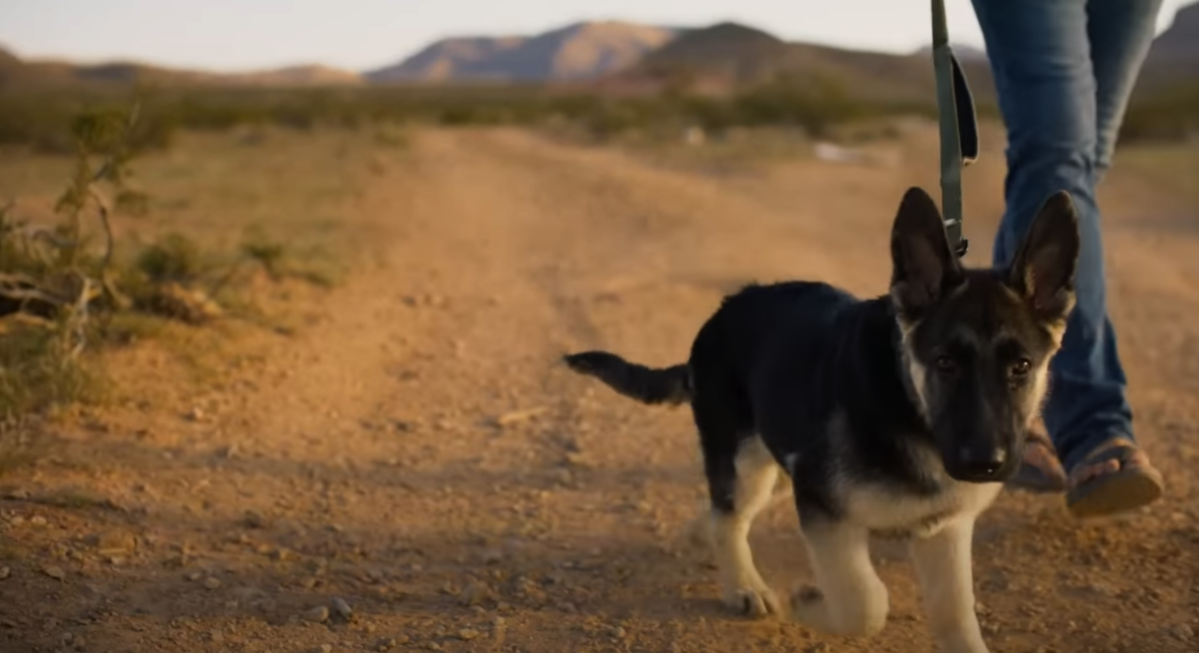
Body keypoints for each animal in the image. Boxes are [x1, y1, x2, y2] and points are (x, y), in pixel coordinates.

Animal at [565, 184, 1083, 651]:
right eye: (944, 363)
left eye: (1021, 367)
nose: (984, 465)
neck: (908, 409)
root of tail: (722, 312)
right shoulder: (825, 510)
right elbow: (864, 602)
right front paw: (807, 602)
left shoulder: (945, 530)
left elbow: (956, 618)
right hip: (749, 462)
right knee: (730, 516)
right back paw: (744, 585)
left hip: (776, 464)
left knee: (723, 510)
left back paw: (702, 536)